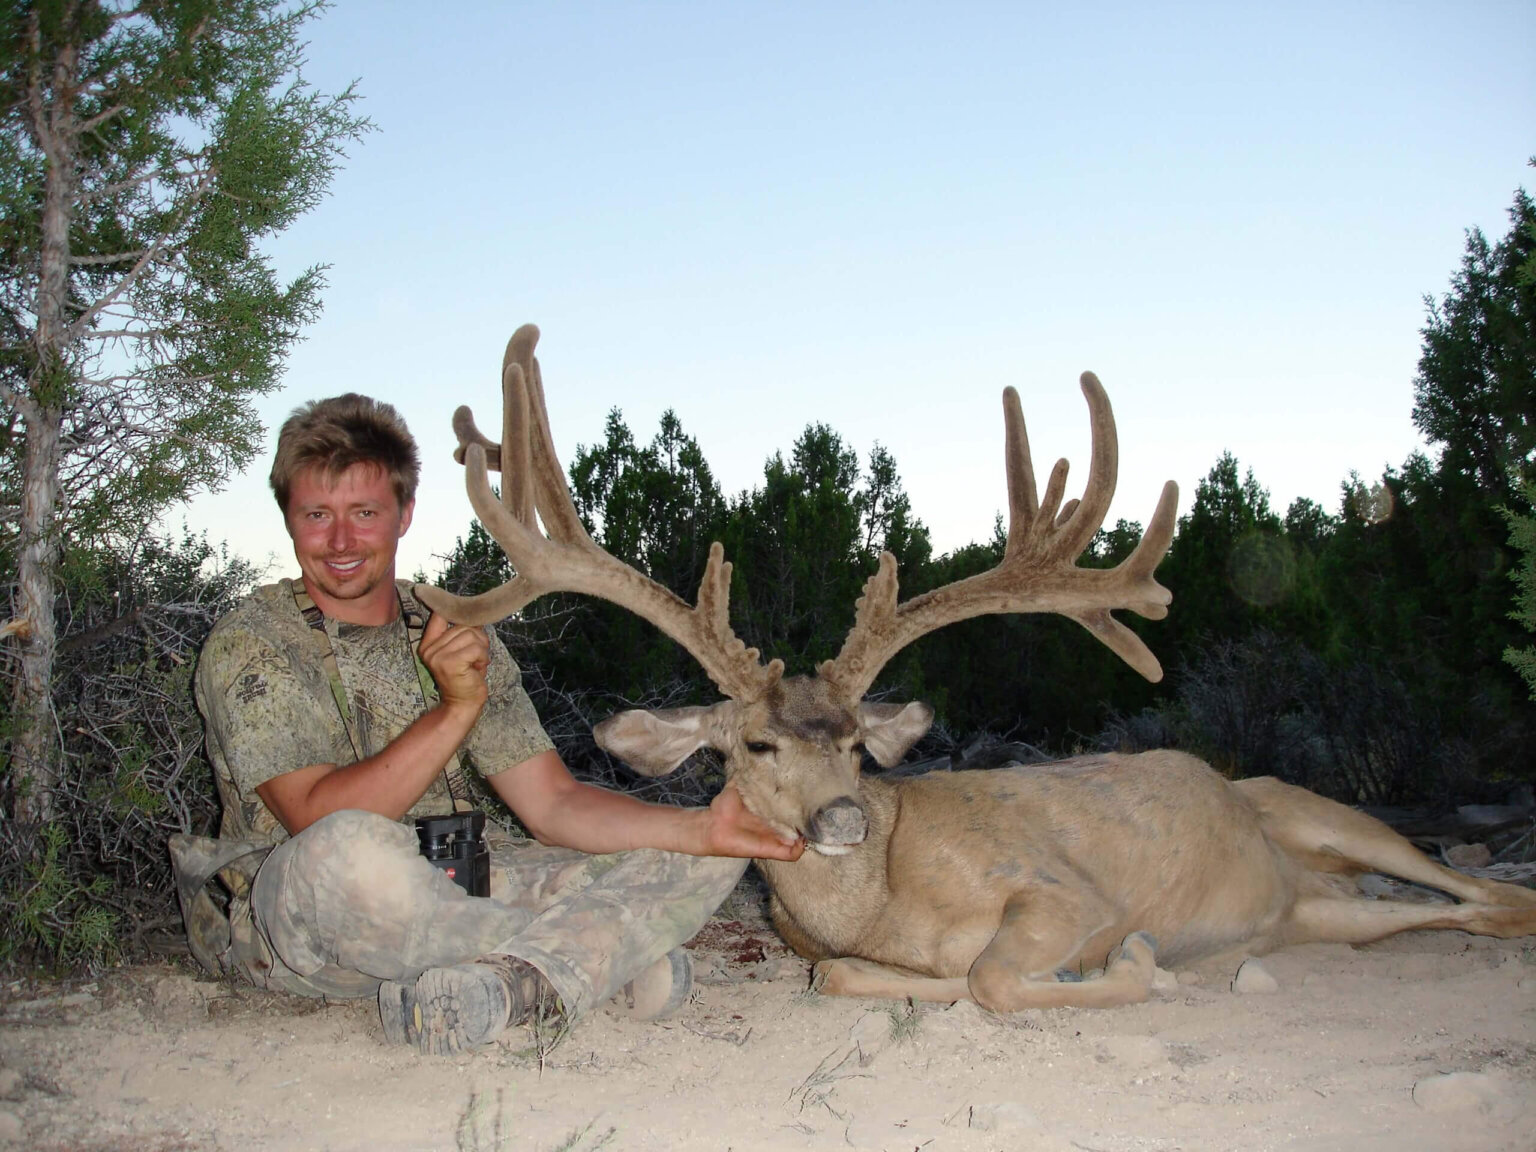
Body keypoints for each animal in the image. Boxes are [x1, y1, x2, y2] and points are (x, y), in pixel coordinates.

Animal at [415, 324, 1536, 1012]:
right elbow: (854, 980)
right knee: (1463, 909)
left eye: (857, 745)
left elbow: (1000, 977)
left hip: (1326, 812)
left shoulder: (1059, 887)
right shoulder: (835, 958)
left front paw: (1133, 965)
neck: (889, 901)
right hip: (1323, 908)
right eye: (758, 743)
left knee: (1470, 884)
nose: (842, 818)